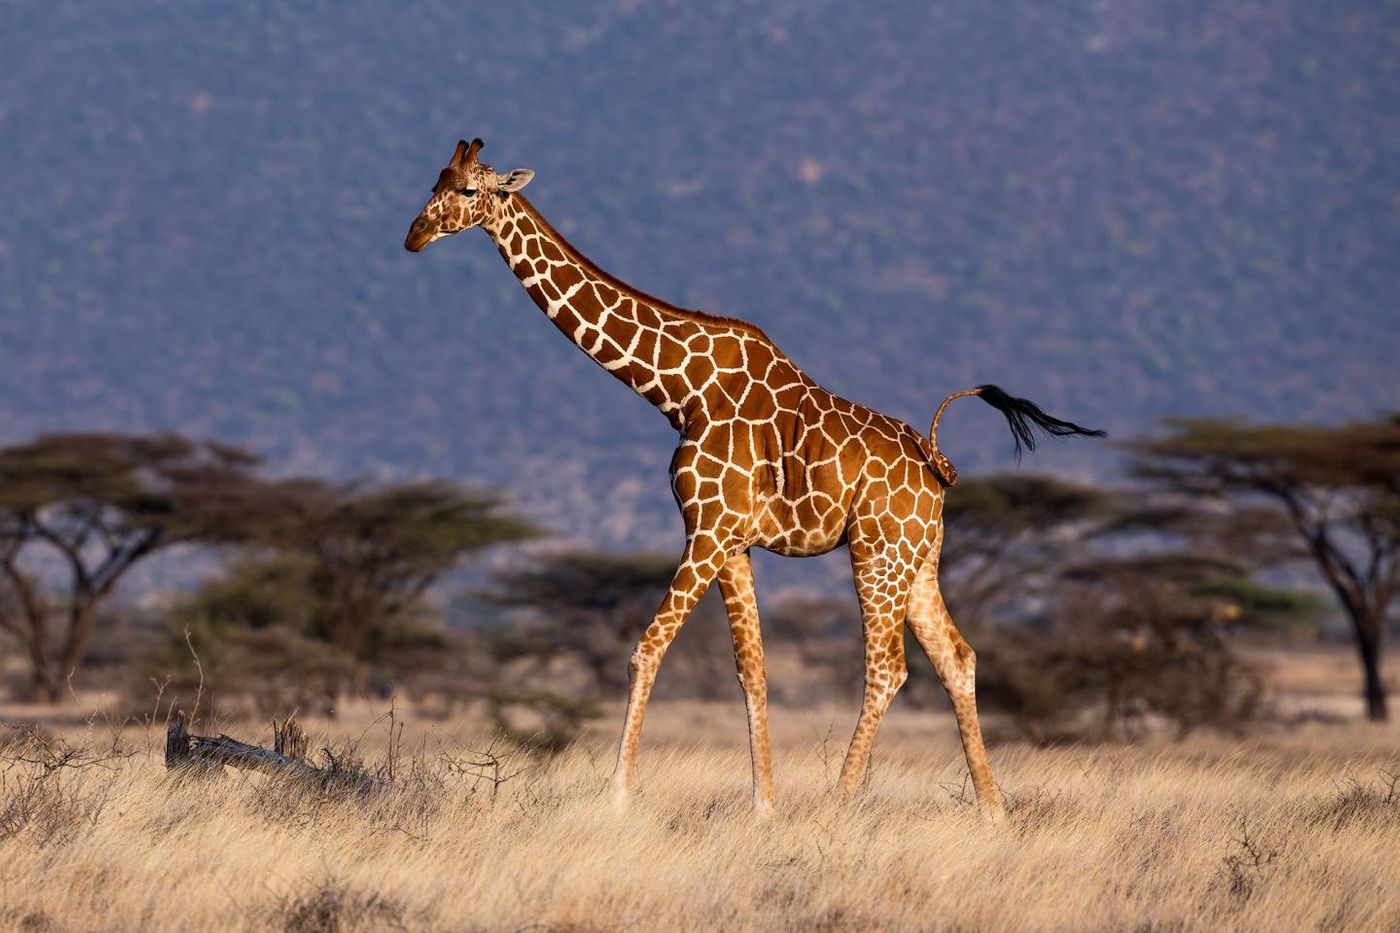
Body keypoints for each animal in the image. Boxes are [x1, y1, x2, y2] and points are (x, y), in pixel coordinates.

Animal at [406, 136, 1103, 812]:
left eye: (467, 190)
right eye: (435, 179)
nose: (414, 235)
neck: (679, 392)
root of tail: (937, 466)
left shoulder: (708, 529)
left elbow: (646, 649)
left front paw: (619, 797)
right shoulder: (730, 540)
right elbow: (753, 669)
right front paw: (763, 805)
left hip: (877, 551)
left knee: (888, 667)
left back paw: (838, 804)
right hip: (917, 557)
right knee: (957, 656)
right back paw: (992, 811)